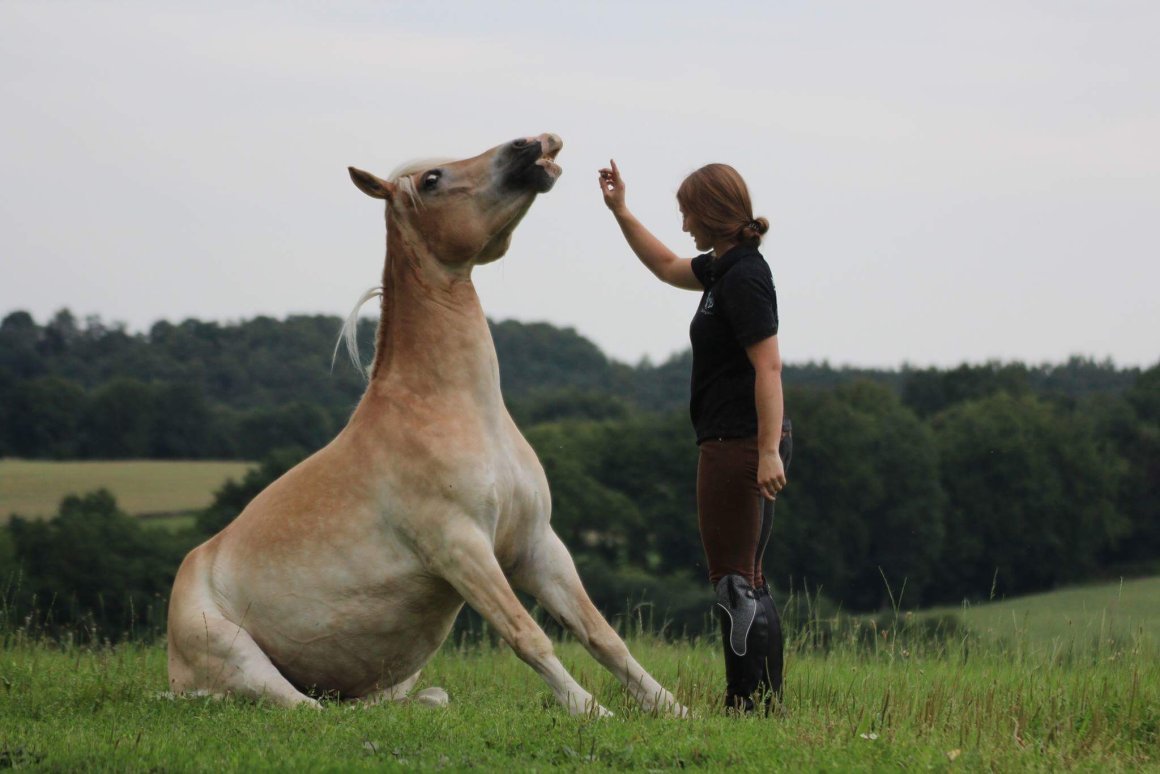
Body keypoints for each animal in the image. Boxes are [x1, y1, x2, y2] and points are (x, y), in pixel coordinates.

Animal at [165, 134, 686, 719]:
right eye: (432, 180)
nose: (533, 143)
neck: (456, 411)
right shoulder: (461, 548)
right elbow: (528, 636)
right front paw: (591, 711)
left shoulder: (537, 545)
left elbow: (603, 636)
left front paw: (673, 710)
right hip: (242, 661)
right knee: (307, 709)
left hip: (389, 679)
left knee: (391, 701)